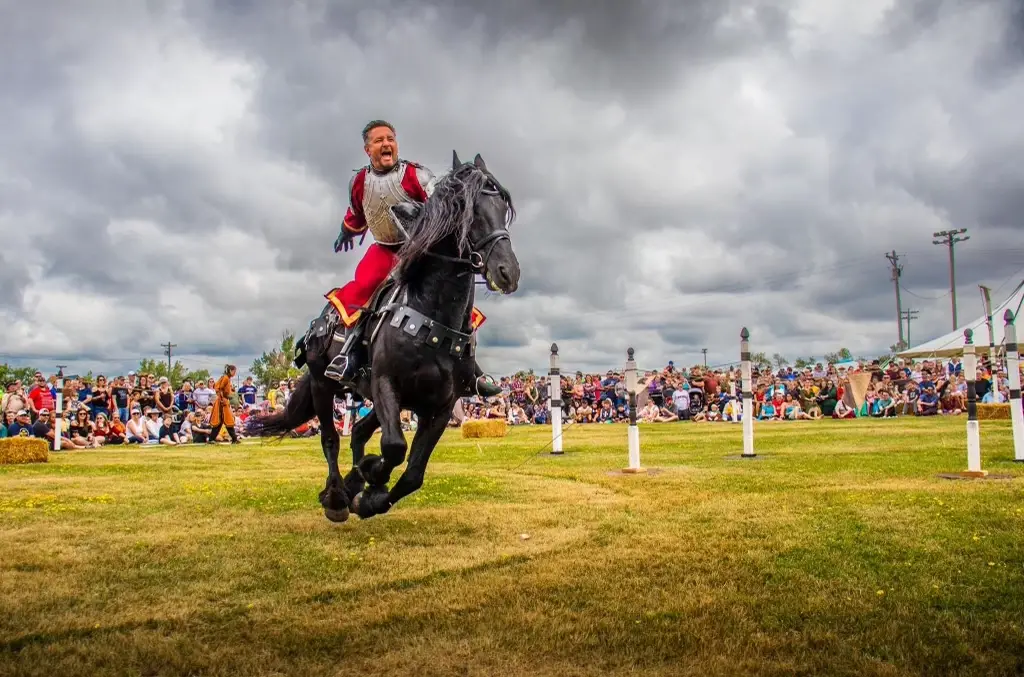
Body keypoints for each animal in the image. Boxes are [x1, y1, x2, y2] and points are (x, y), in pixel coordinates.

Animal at [247, 153, 520, 520]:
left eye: (502, 207)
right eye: (468, 209)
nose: (508, 272)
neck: (431, 315)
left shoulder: (441, 405)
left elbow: (412, 474)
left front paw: (370, 492)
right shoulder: (385, 383)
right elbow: (392, 448)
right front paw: (369, 480)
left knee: (359, 432)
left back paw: (352, 485)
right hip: (323, 384)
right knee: (331, 439)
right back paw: (336, 496)